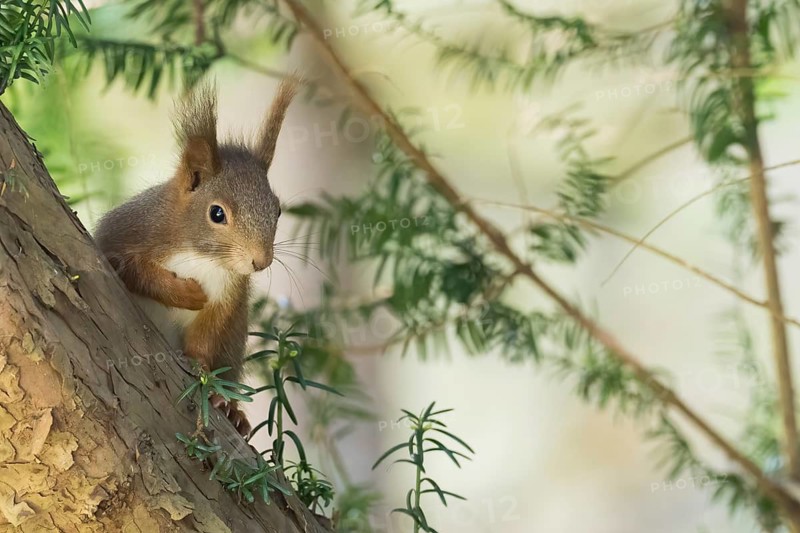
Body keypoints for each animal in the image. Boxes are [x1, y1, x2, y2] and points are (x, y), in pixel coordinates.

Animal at [95, 77, 299, 436]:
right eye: (216, 213)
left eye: (277, 210)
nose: (261, 262)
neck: (202, 256)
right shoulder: (125, 235)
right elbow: (134, 271)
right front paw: (188, 293)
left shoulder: (228, 296)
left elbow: (205, 337)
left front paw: (206, 377)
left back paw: (232, 409)